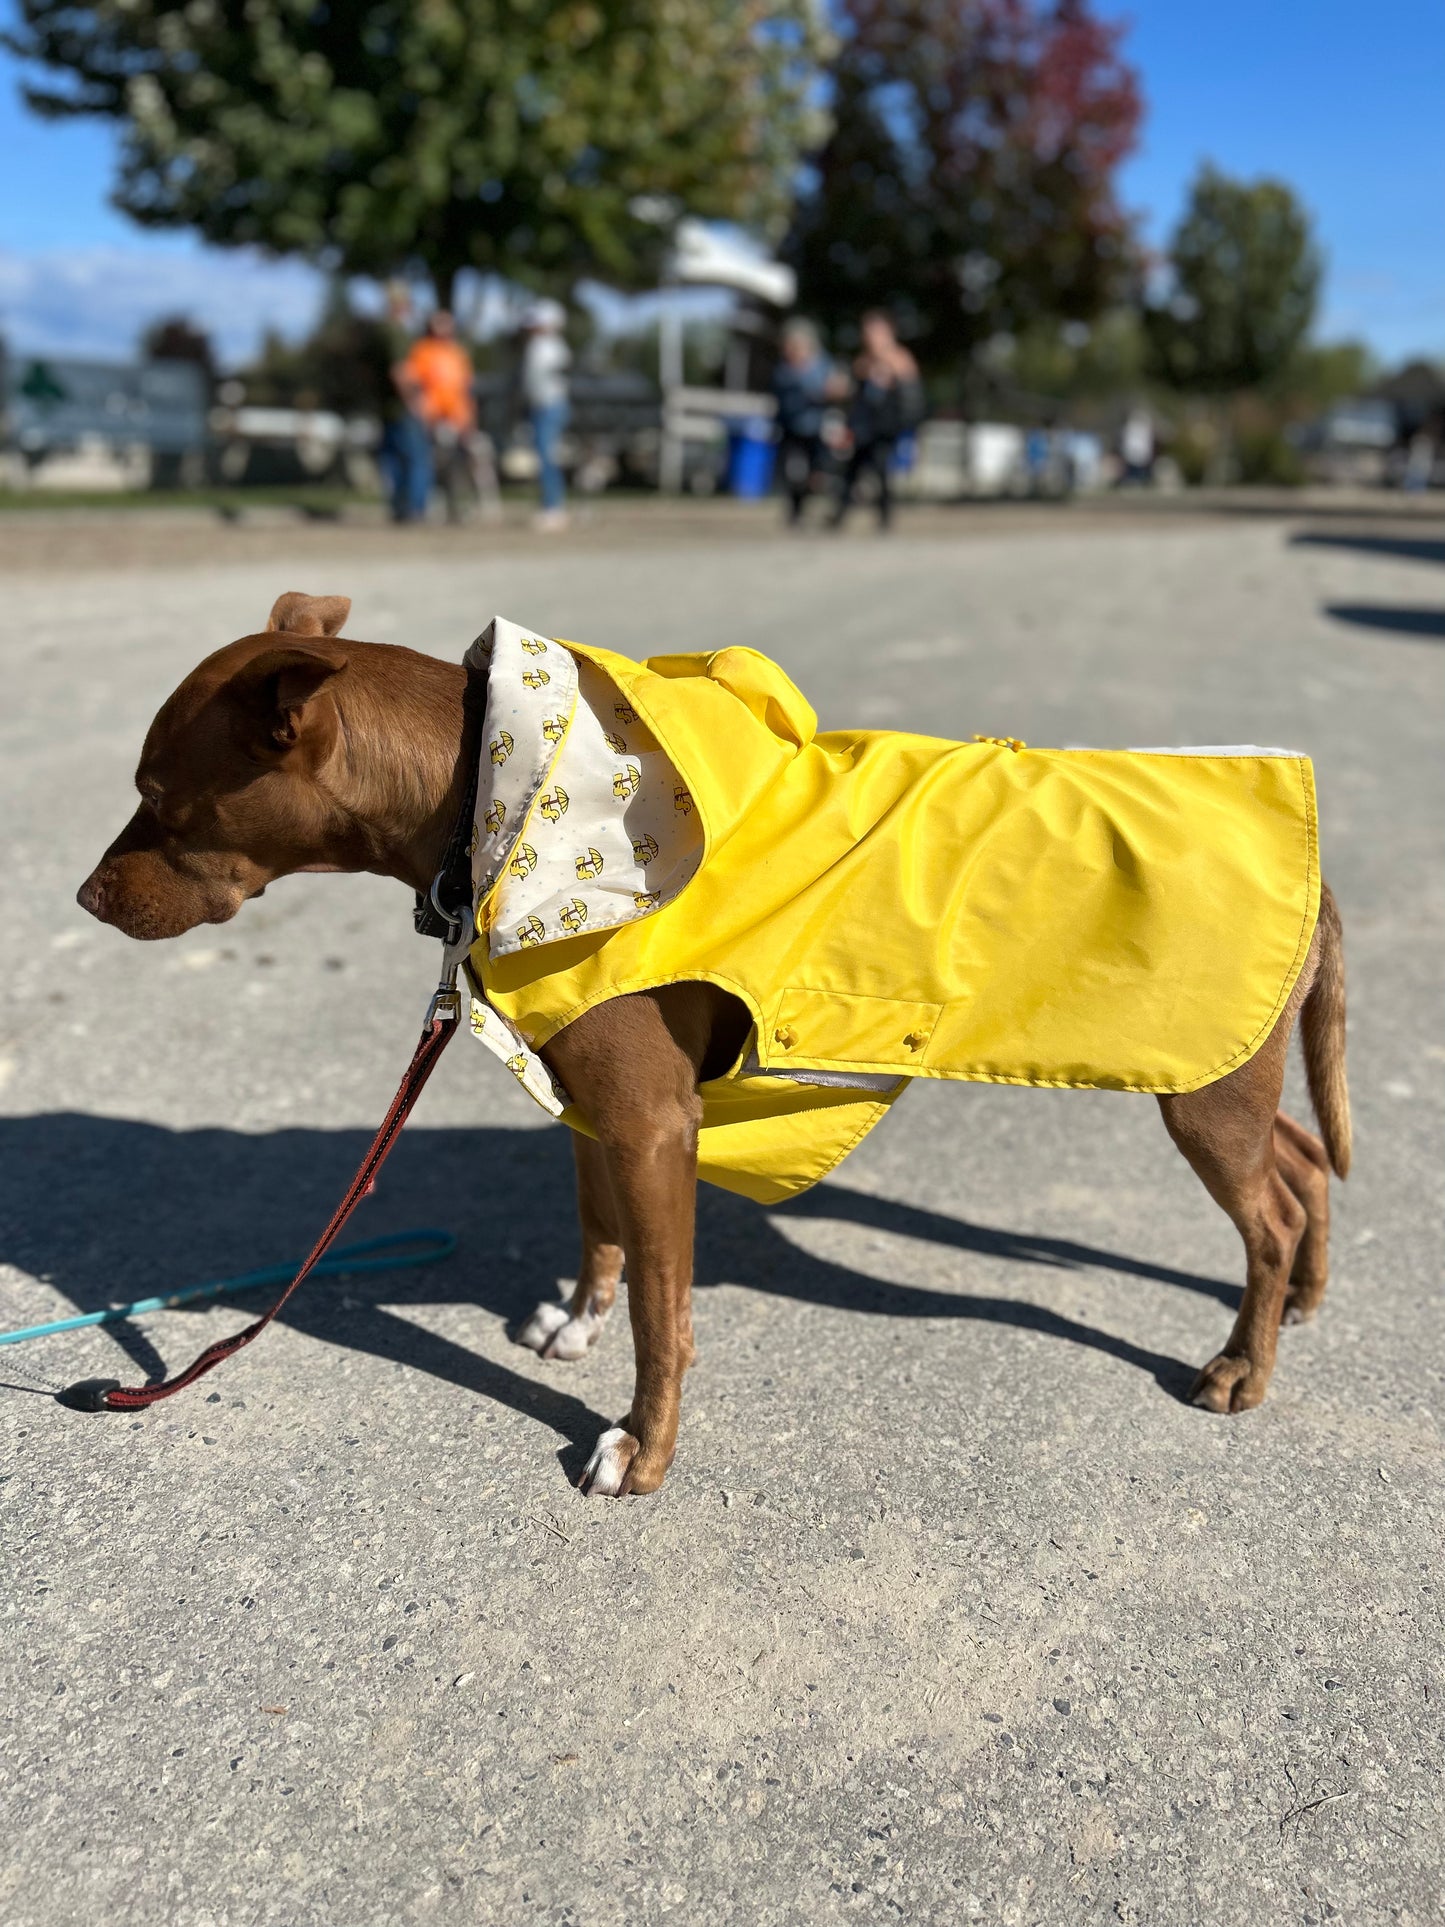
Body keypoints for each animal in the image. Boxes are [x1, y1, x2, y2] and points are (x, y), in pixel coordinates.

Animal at [78, 593, 1356, 1495]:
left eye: (162, 797)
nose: (86, 897)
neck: (495, 787)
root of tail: (1318, 872)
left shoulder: (653, 1125)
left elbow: (665, 1313)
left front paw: (639, 1452)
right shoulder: (595, 1110)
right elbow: (600, 1237)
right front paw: (577, 1323)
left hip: (1200, 1090)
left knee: (1267, 1211)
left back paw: (1243, 1364)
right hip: (1233, 1081)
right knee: (1299, 1167)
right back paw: (1298, 1302)